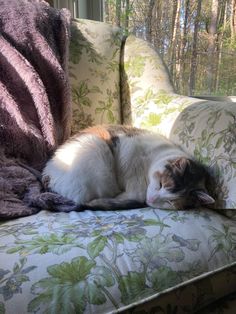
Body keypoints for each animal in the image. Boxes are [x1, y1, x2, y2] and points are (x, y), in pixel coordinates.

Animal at [42, 125, 214, 211]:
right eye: (161, 184)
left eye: (171, 203)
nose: (152, 199)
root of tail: (48, 175)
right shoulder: (130, 152)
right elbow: (136, 193)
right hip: (97, 149)